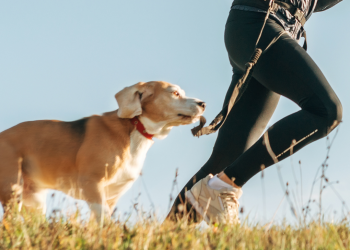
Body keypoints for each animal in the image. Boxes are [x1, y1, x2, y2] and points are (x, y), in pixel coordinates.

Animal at [0, 81, 205, 220]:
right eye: (175, 93)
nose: (203, 104)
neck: (135, 127)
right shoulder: (92, 185)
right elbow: (103, 220)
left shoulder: (111, 196)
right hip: (12, 192)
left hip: (33, 200)